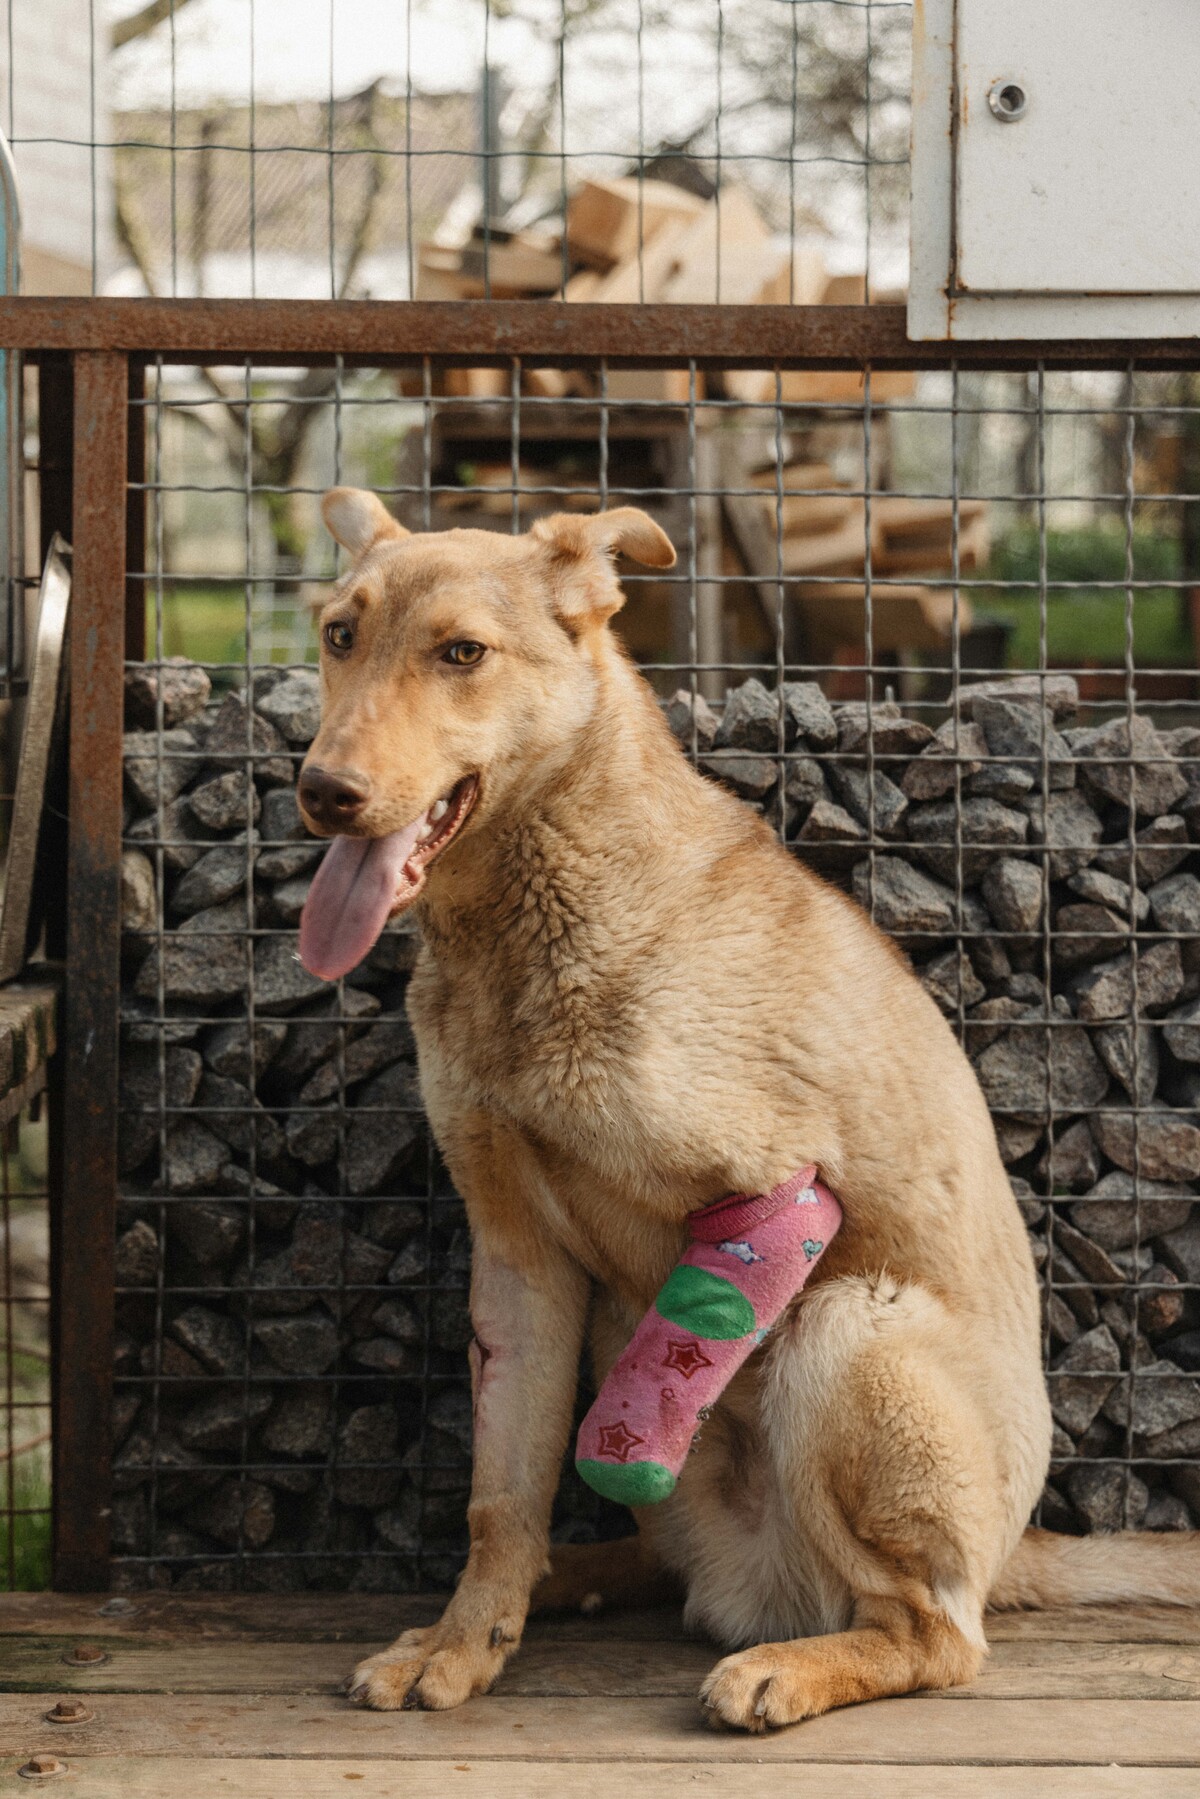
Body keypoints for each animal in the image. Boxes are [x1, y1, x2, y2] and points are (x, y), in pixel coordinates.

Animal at [296, 487, 1200, 1731]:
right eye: (341, 635)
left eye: (462, 653)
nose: (320, 791)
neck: (531, 925)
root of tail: (1012, 1551)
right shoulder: (518, 1262)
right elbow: (501, 1492)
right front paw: (466, 1639)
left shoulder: (777, 1193)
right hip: (624, 1331)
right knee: (661, 1551)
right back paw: (574, 1576)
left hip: (849, 1327)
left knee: (936, 1633)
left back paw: (791, 1664)